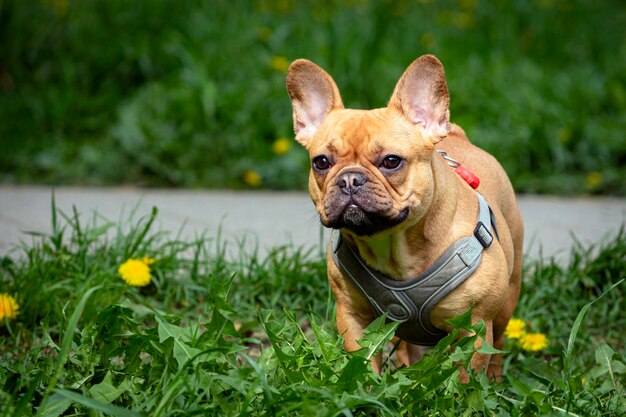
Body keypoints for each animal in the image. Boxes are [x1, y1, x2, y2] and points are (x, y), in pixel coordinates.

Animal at [286, 53, 520, 378]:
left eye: (391, 161)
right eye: (321, 162)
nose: (349, 179)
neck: (393, 246)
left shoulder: (474, 327)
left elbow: (465, 375)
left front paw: (467, 391)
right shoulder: (352, 318)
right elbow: (362, 360)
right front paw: (367, 385)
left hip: (508, 296)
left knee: (497, 342)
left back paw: (495, 379)